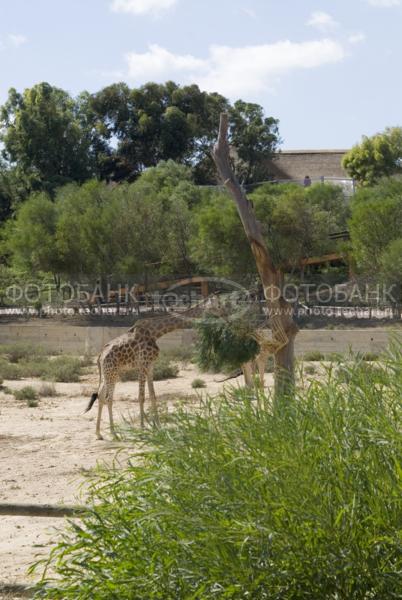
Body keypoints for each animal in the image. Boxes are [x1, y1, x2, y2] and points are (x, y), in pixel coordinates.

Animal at [86, 298, 221, 438]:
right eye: (217, 306)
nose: (223, 314)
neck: (155, 333)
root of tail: (100, 356)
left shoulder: (150, 366)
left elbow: (152, 395)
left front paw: (157, 426)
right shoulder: (142, 365)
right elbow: (141, 396)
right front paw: (142, 427)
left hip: (108, 374)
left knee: (101, 396)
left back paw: (98, 433)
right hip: (112, 373)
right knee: (108, 398)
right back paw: (114, 433)